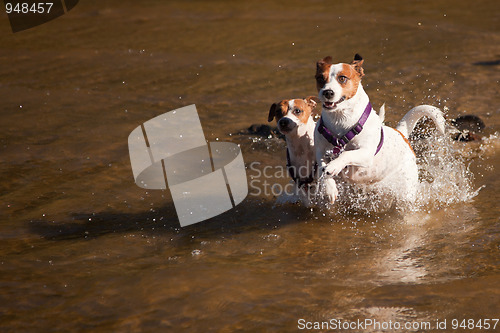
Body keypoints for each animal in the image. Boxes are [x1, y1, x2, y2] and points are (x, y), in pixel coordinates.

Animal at [314, 54, 448, 204]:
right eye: (320, 78)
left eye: (342, 78)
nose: (327, 92)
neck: (339, 120)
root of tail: (401, 133)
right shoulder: (320, 152)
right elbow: (323, 168)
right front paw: (330, 188)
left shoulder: (366, 153)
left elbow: (346, 154)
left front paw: (334, 165)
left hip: (406, 190)